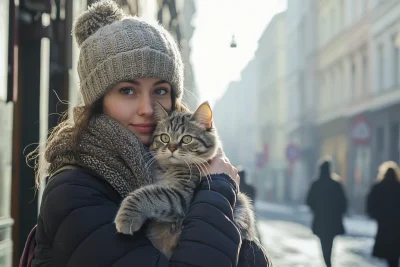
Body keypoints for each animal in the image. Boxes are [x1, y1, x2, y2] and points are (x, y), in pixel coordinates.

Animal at [114, 101, 256, 260]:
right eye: (164, 138)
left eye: (187, 139)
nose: (171, 148)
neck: (169, 168)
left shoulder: (182, 195)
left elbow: (147, 195)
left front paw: (126, 216)